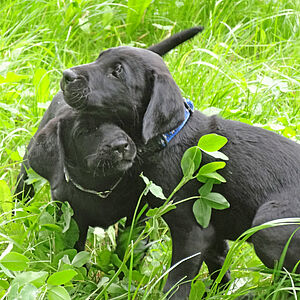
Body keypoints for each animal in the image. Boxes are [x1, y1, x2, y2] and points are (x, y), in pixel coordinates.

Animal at [60, 42, 300, 298]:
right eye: (99, 58)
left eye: (117, 72)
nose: (66, 75)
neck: (169, 135)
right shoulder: (212, 229)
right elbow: (219, 265)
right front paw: (217, 292)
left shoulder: (192, 232)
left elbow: (176, 281)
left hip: (269, 229)